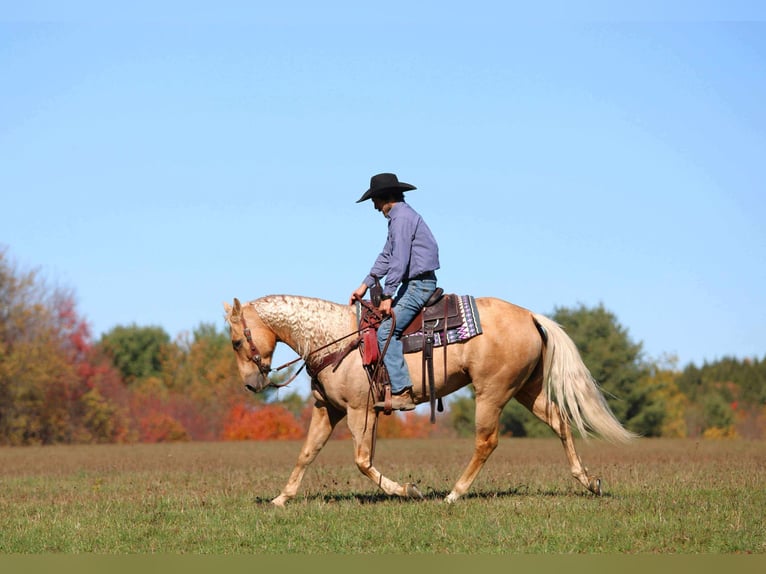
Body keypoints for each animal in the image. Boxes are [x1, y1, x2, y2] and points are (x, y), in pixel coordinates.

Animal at [223, 294, 636, 506]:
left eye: (237, 341)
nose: (251, 385)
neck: (336, 338)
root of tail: (531, 316)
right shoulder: (329, 410)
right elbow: (306, 454)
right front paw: (281, 498)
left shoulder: (360, 411)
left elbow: (362, 461)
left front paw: (408, 490)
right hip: (526, 390)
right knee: (560, 423)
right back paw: (589, 482)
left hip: (492, 392)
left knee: (486, 441)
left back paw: (454, 494)